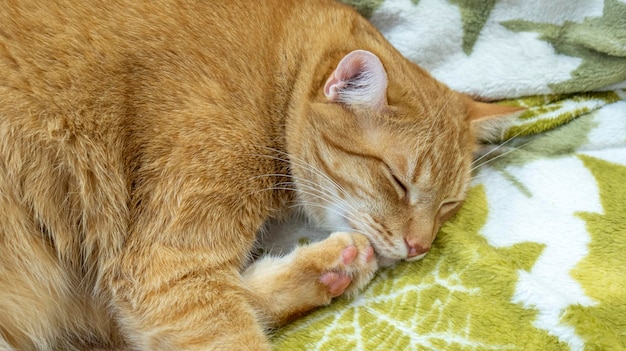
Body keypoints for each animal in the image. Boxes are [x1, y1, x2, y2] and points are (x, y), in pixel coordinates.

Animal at [0, 0, 520, 350]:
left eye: (449, 204)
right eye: (398, 181)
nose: (420, 248)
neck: (273, 79)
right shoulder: (165, 268)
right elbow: (220, 327)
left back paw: (333, 267)